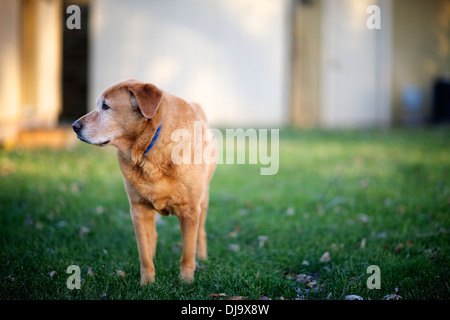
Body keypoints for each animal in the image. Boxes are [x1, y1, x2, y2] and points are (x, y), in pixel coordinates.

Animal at [72, 79, 216, 284]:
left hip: (203, 201)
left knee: (201, 232)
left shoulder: (189, 210)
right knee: (152, 236)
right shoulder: (138, 209)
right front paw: (147, 283)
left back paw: (202, 258)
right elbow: (144, 252)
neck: (149, 151)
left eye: (106, 106)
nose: (74, 126)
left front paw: (186, 281)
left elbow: (187, 253)